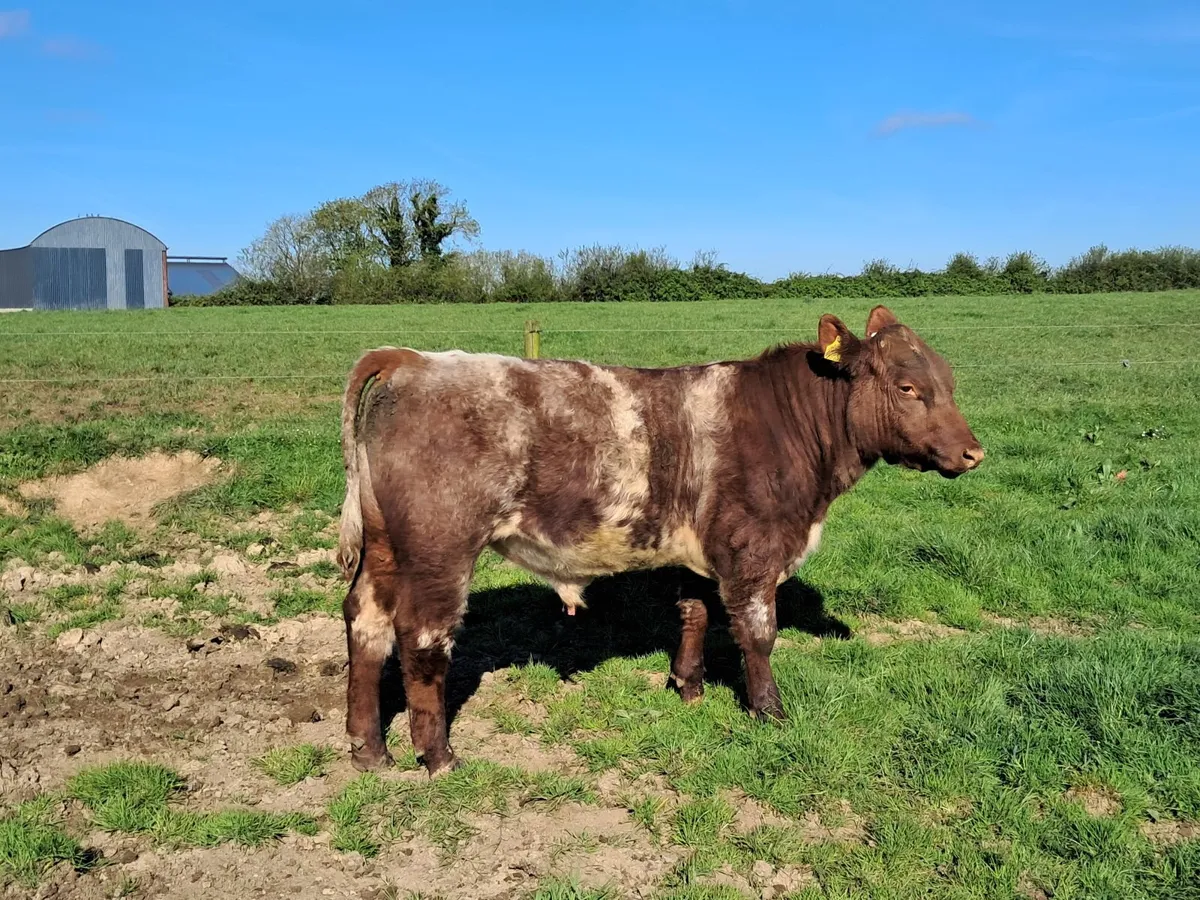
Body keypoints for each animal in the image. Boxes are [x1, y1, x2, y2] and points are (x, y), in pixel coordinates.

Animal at [336, 305, 984, 776]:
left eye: (950, 382)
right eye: (907, 387)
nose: (974, 453)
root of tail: (412, 359)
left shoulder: (700, 553)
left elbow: (694, 613)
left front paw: (688, 686)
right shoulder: (753, 551)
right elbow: (759, 634)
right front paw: (770, 713)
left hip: (386, 545)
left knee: (364, 618)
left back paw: (369, 749)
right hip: (440, 548)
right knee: (423, 637)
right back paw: (438, 756)